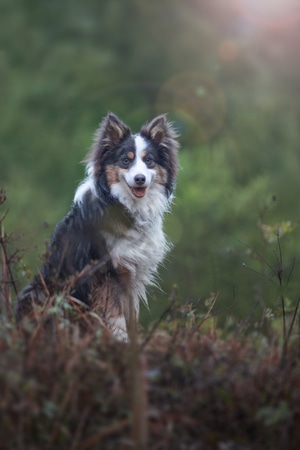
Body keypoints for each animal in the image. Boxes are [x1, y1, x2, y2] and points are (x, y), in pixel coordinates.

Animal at [16, 113, 178, 342]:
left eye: (149, 161)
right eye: (126, 160)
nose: (140, 179)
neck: (126, 206)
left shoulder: (133, 272)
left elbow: (132, 315)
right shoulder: (107, 271)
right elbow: (116, 315)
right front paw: (121, 343)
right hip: (35, 293)